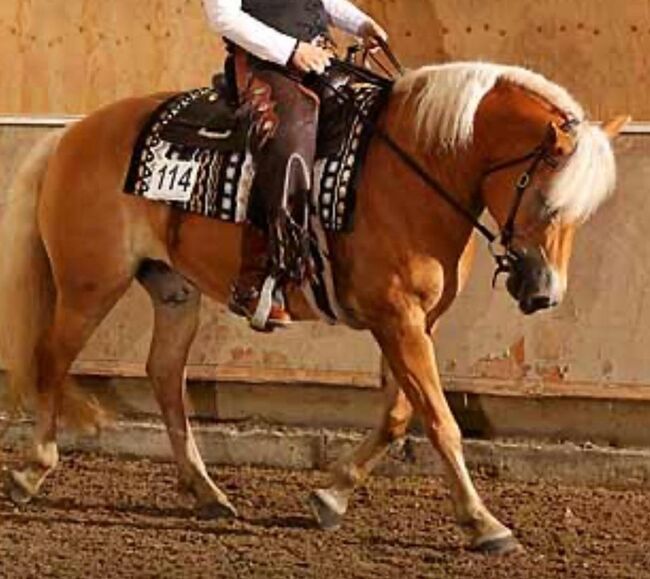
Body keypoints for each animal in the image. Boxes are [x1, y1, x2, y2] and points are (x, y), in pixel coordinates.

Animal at [0, 61, 624, 556]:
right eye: (545, 200)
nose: (544, 293)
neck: (413, 171)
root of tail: (73, 133)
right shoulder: (398, 320)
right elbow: (441, 422)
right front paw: (483, 523)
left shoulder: (413, 322)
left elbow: (400, 415)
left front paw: (331, 494)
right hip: (89, 286)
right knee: (50, 358)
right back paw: (32, 471)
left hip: (173, 291)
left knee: (165, 377)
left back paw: (207, 493)